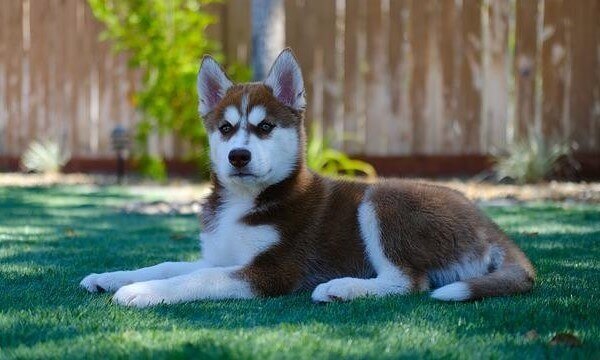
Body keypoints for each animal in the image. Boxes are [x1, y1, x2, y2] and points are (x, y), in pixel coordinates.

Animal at [79, 48, 536, 306]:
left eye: (264, 127)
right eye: (225, 129)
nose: (239, 156)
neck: (244, 201)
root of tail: (490, 225)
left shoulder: (273, 270)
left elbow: (196, 278)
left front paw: (140, 293)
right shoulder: (220, 255)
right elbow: (165, 264)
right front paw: (111, 277)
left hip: (382, 200)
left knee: (409, 281)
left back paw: (343, 288)